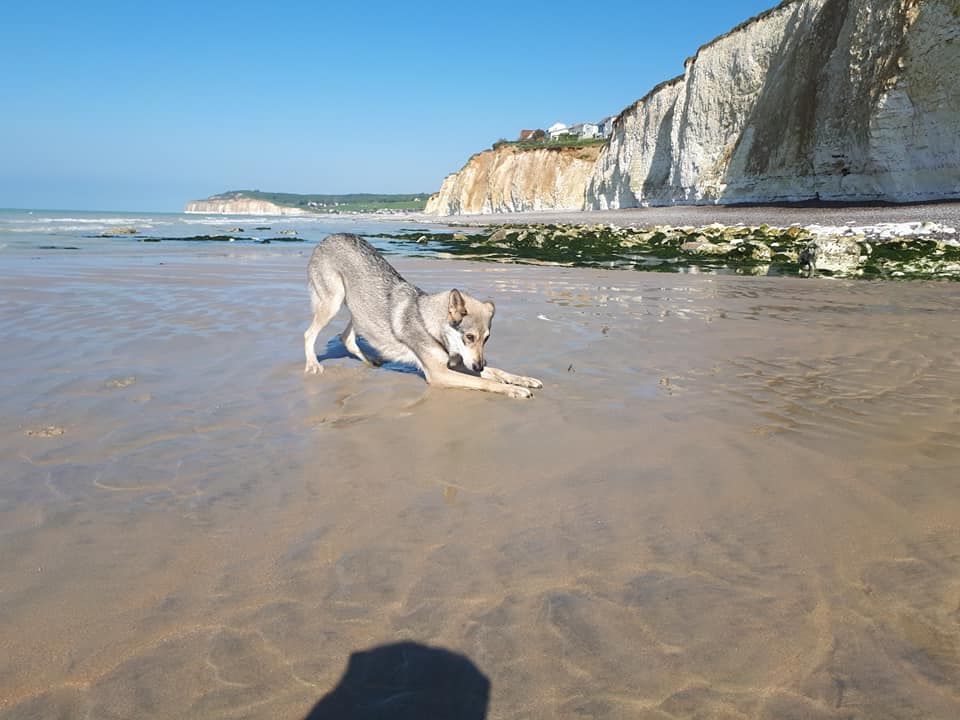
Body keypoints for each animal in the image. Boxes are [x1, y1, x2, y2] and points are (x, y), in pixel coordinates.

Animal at [304, 233, 544, 400]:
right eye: (469, 337)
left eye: (487, 339)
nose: (478, 367)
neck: (431, 327)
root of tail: (328, 238)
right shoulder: (439, 373)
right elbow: (486, 382)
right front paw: (514, 390)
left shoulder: (457, 364)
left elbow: (497, 371)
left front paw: (523, 380)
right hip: (334, 303)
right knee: (309, 334)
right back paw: (313, 364)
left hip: (358, 310)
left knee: (346, 338)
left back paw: (371, 360)